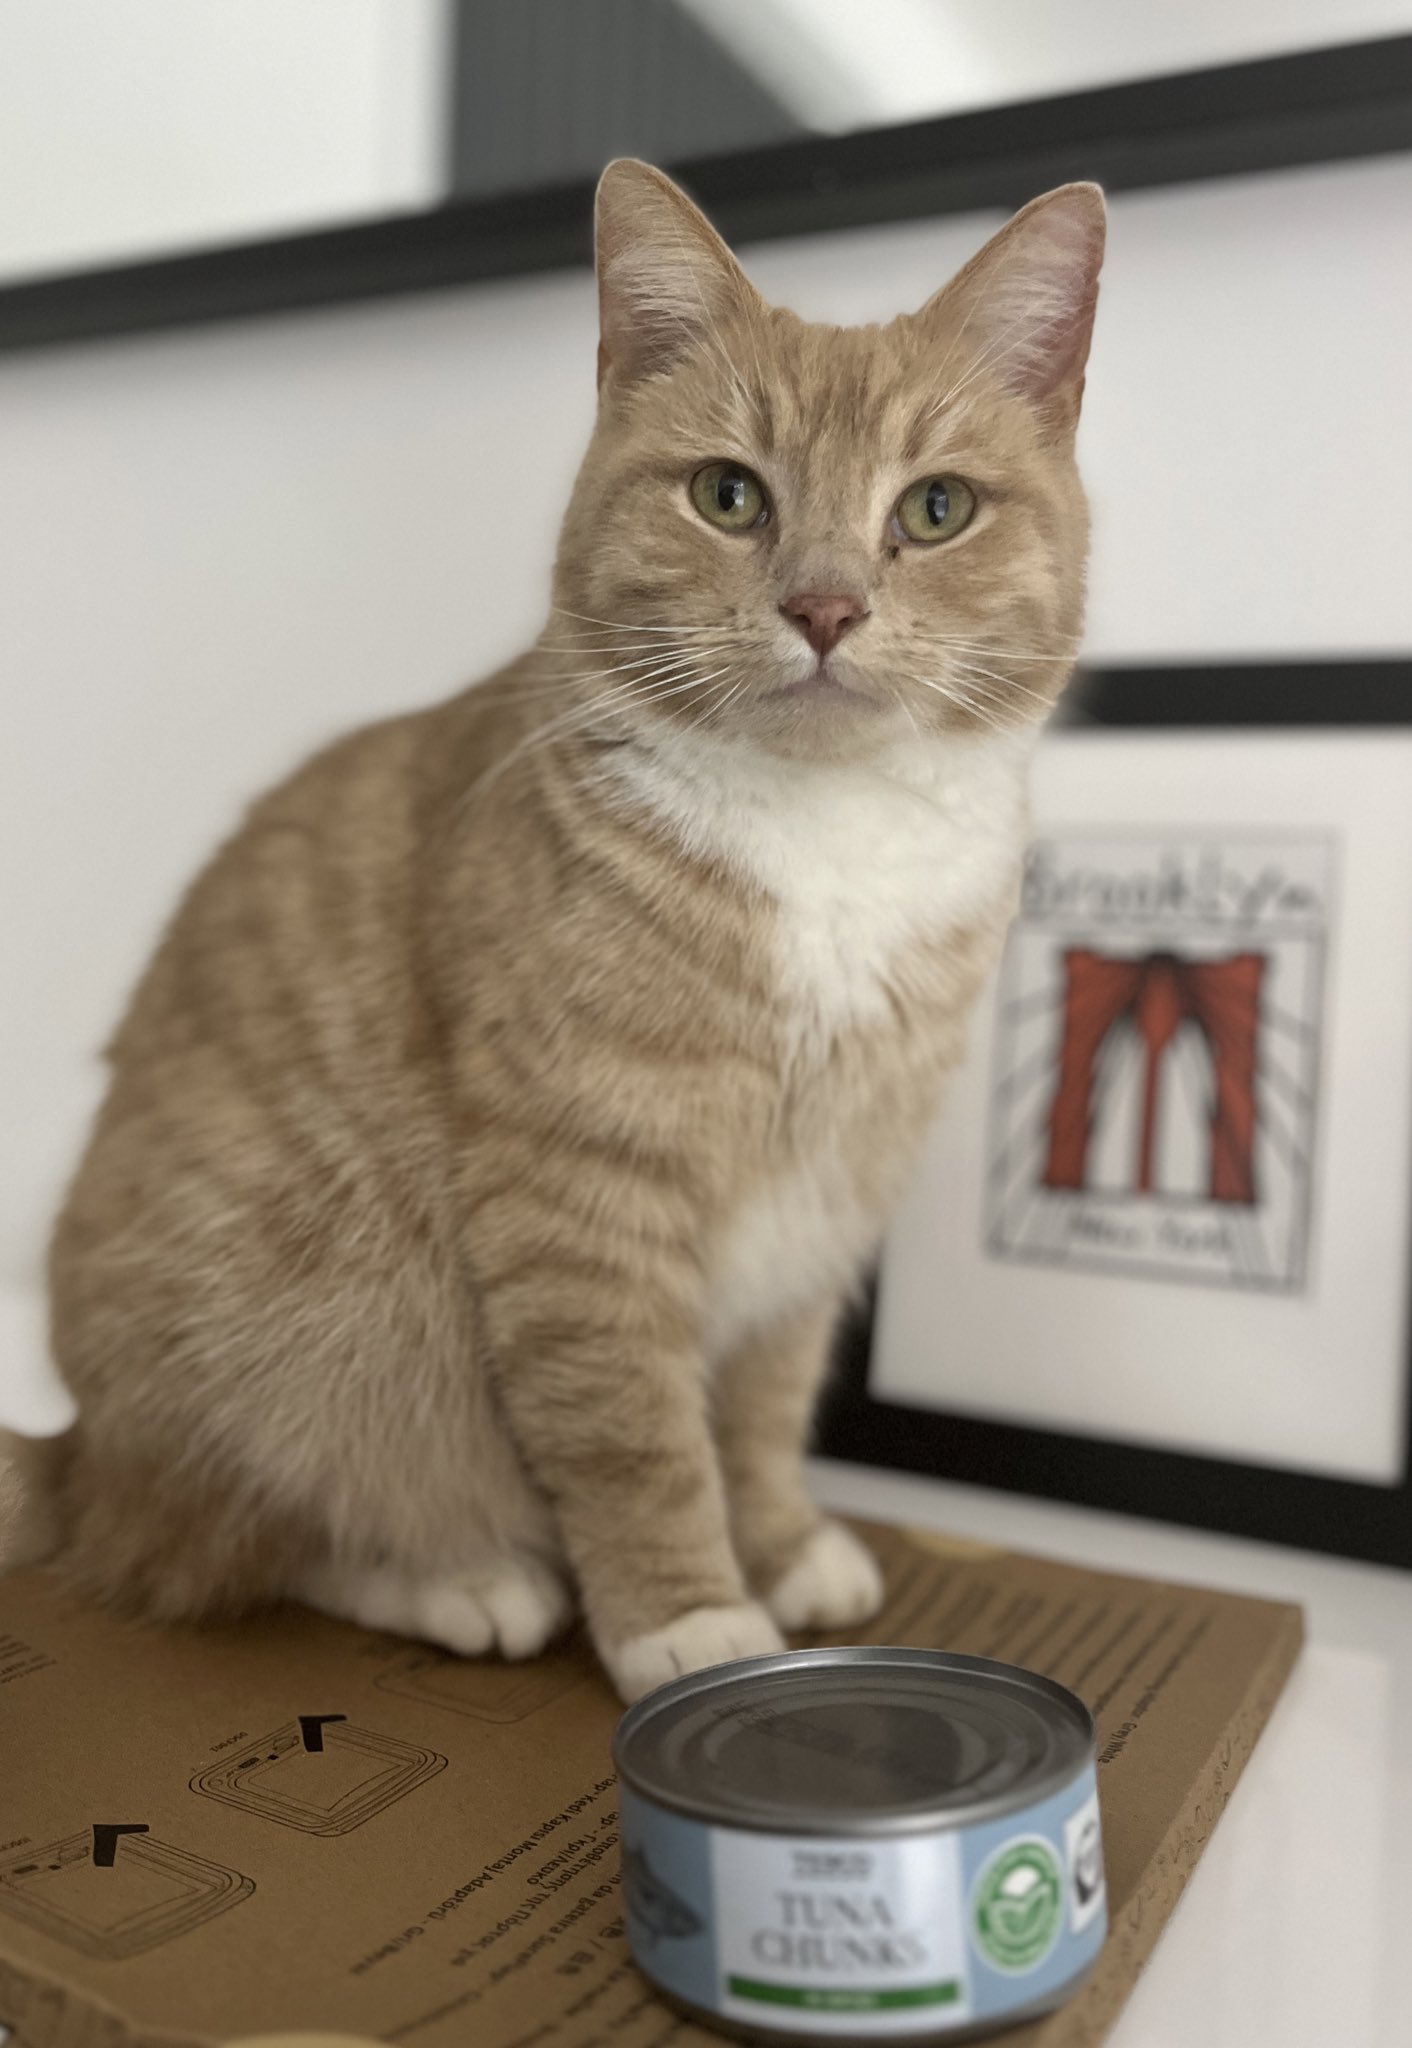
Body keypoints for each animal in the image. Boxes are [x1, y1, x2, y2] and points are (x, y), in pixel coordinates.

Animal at [4, 161, 1104, 1703]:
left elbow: (761, 1405)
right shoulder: (584, 1194)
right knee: (226, 1538)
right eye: (727, 496)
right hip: (301, 1336)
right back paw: (461, 1577)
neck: (827, 846)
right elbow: (635, 1436)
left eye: (936, 509)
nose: (825, 605)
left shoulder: (831, 1195)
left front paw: (780, 1544)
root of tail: (77, 1450)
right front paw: (689, 1618)